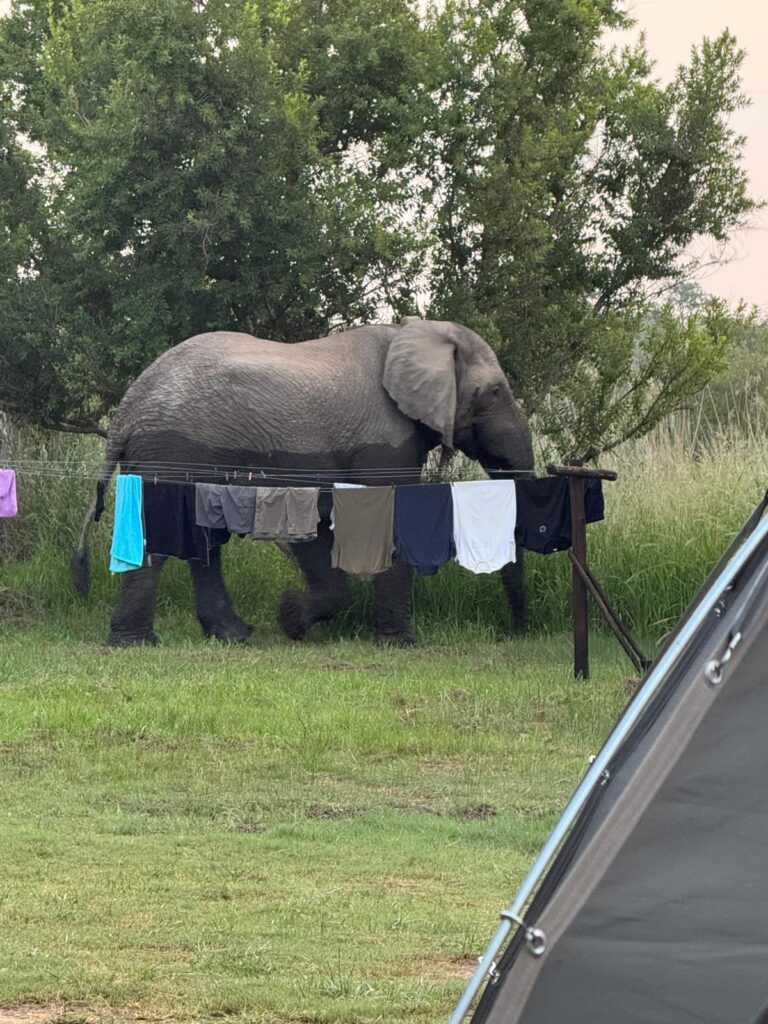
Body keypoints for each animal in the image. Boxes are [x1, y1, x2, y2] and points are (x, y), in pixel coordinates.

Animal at [73, 315, 536, 643]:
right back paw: (137, 643)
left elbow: (322, 524)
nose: (513, 634)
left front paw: (291, 618)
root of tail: (128, 408)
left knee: (202, 540)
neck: (414, 331)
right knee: (163, 533)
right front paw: (399, 642)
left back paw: (232, 636)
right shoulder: (384, 438)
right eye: (494, 393)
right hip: (170, 449)